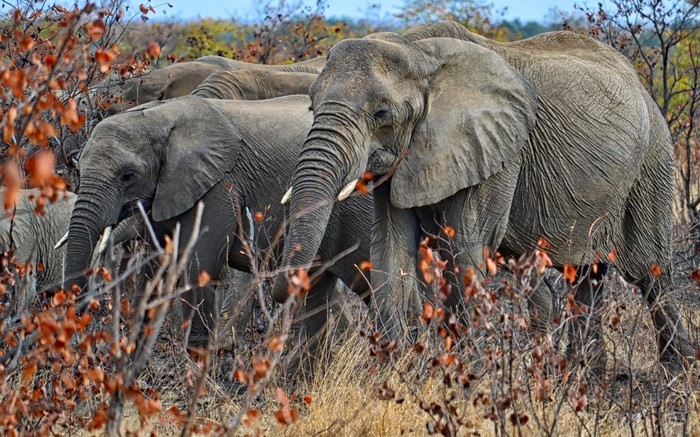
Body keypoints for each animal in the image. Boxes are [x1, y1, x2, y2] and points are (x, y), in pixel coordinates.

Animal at [64, 95, 371, 357]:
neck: (160, 116)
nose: (83, 307)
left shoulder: (220, 187)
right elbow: (153, 274)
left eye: (127, 176)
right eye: (79, 168)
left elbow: (200, 268)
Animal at [271, 20, 694, 374]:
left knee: (650, 274)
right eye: (311, 105)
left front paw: (466, 378)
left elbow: (467, 248)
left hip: (653, 162)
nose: (279, 292)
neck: (415, 50)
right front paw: (391, 375)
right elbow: (390, 249)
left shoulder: (498, 149)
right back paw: (583, 378)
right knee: (586, 279)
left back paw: (675, 377)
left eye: (381, 113)